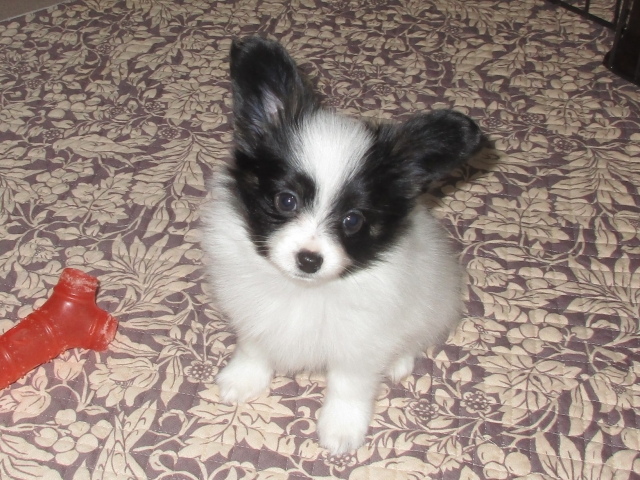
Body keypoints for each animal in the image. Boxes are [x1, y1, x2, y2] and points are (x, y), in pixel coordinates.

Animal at [200, 36, 482, 455]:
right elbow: (254, 346)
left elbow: (349, 386)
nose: (309, 260)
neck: (304, 291)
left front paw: (341, 431)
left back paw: (399, 362)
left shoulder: (361, 343)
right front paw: (243, 380)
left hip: (432, 305)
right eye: (286, 201)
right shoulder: (255, 314)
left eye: (352, 221)